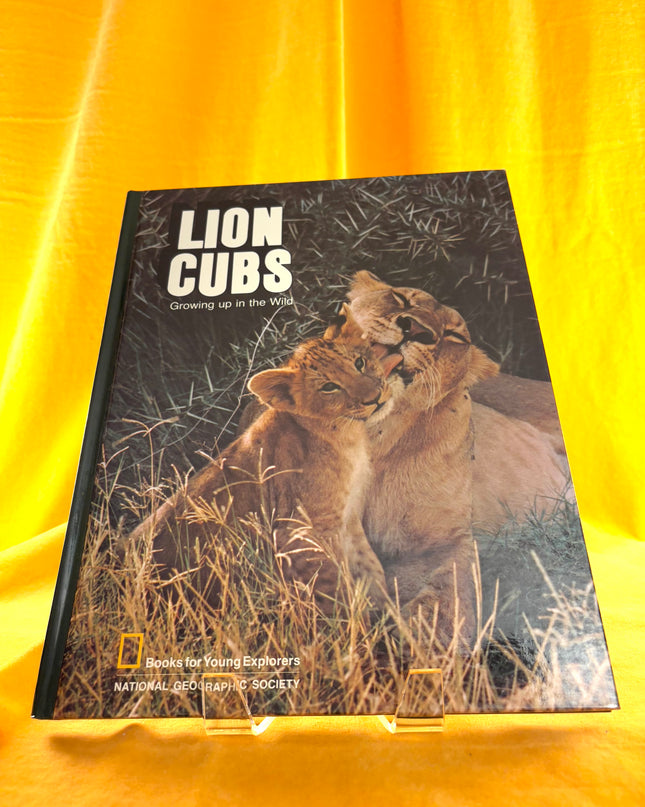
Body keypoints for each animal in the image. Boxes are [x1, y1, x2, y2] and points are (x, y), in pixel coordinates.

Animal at [130, 305, 394, 614]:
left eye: (359, 362)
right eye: (329, 387)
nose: (375, 398)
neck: (347, 435)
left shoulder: (349, 522)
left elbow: (371, 572)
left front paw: (393, 621)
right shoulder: (299, 533)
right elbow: (336, 592)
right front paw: (353, 626)